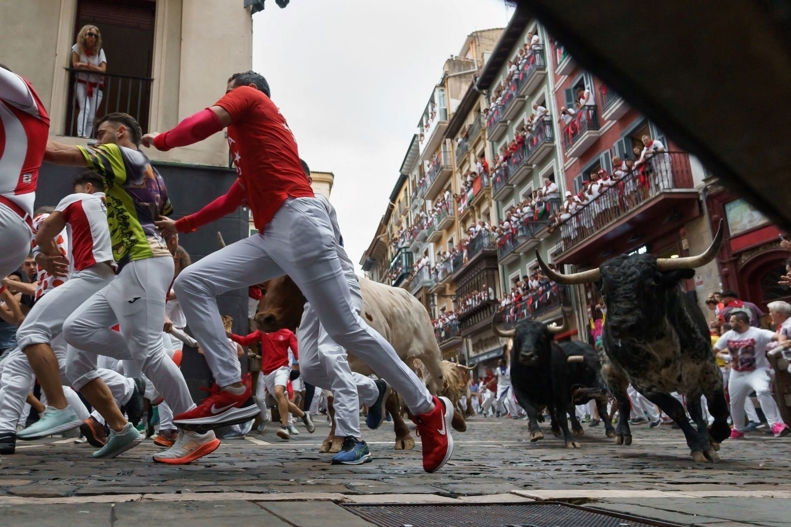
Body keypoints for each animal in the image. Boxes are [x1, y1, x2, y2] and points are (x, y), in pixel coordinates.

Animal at [255, 274, 464, 452]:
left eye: (289, 281)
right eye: (263, 287)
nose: (263, 318)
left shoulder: (378, 355)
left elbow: (390, 398)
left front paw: (403, 437)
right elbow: (333, 403)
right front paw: (333, 440)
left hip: (431, 353)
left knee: (437, 386)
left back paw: (455, 418)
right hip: (406, 358)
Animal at [492, 318, 616, 450]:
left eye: (542, 337)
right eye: (517, 338)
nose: (527, 355)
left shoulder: (563, 393)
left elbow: (601, 411)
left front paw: (610, 431)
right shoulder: (521, 392)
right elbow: (533, 410)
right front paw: (536, 432)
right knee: (550, 411)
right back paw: (555, 427)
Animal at [540, 221, 732, 464]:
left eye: (653, 282)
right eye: (604, 290)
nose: (621, 325)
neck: (662, 346)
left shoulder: (707, 368)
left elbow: (717, 408)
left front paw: (713, 436)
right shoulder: (643, 382)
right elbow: (675, 409)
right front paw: (698, 445)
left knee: (695, 406)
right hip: (611, 372)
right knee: (622, 400)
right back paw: (622, 432)